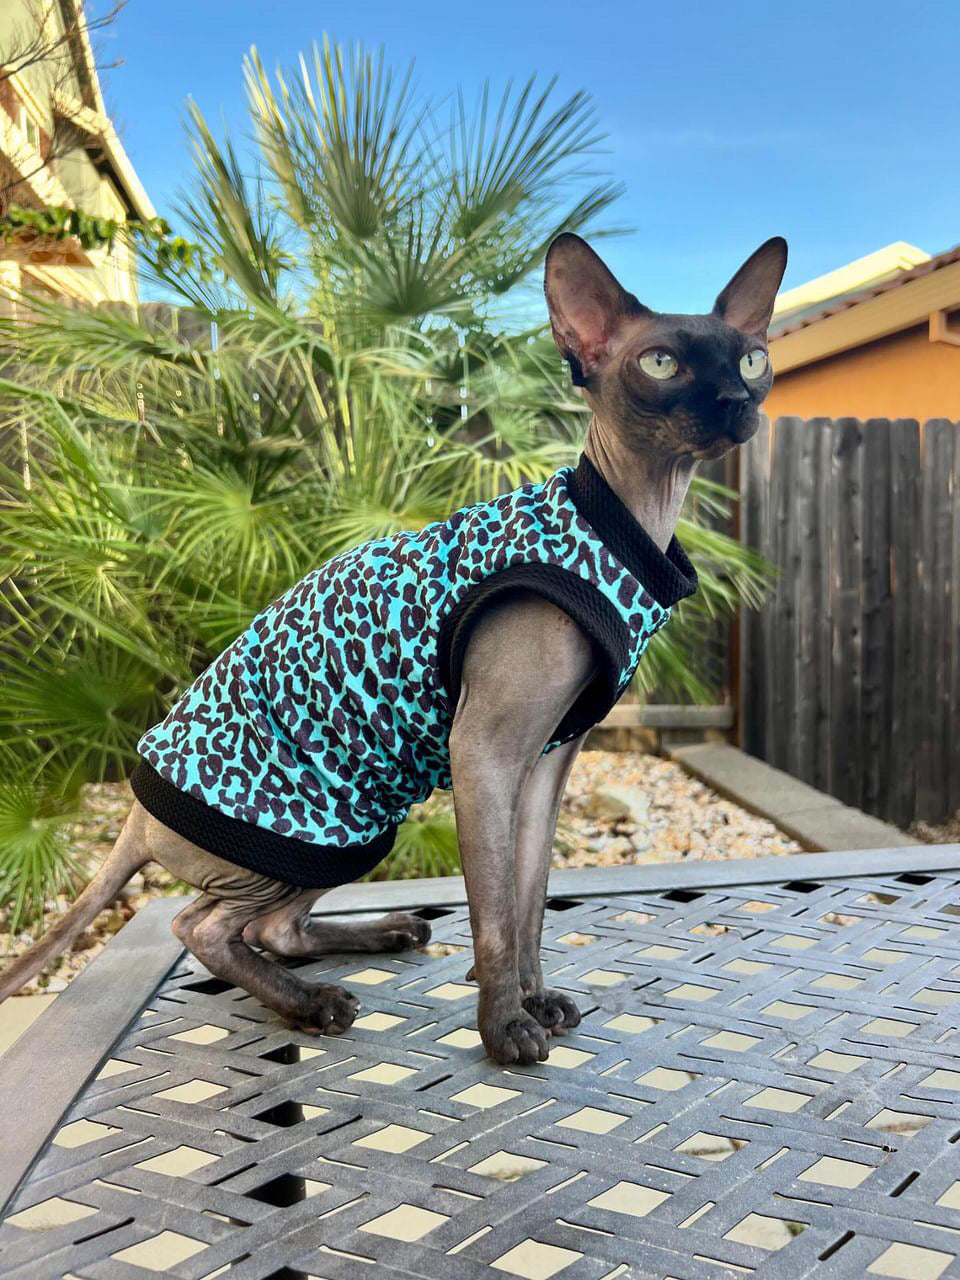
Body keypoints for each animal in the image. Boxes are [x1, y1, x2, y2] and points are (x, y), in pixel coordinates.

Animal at [0, 232, 788, 1070]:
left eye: (751, 360)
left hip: (355, 830)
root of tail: (136, 815)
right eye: (661, 363)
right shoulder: (485, 753)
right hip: (317, 827)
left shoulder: (546, 766)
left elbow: (530, 902)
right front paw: (505, 1027)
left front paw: (536, 999)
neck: (625, 526)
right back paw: (310, 1003)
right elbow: (495, 915)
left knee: (271, 928)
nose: (736, 403)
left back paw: (378, 935)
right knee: (201, 926)